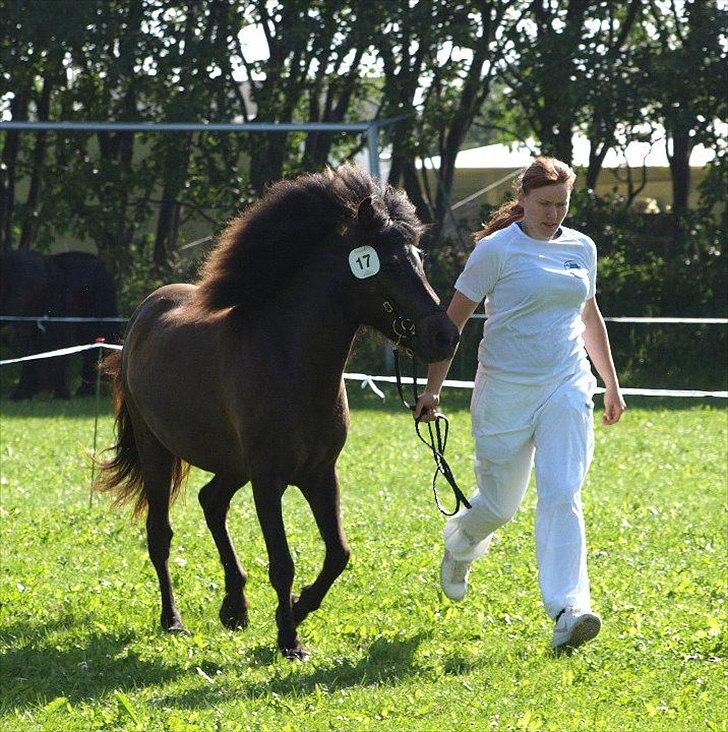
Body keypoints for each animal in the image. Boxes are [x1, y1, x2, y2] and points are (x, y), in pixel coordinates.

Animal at [97, 166, 458, 656]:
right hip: (158, 451)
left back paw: (235, 608)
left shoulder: (320, 473)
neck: (289, 361)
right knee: (161, 535)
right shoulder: (268, 479)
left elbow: (339, 553)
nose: (446, 336)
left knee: (211, 501)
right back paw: (173, 620)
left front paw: (300, 608)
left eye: (417, 257)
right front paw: (290, 641)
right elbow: (282, 561)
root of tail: (142, 317)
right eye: (389, 264)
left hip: (232, 463)